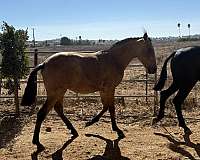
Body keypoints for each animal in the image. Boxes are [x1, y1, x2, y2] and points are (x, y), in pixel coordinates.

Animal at [21, 32, 157, 150]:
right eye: (149, 50)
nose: (154, 69)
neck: (114, 59)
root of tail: (44, 63)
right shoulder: (110, 88)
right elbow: (111, 108)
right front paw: (117, 130)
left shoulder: (103, 90)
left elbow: (106, 107)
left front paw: (90, 122)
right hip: (55, 93)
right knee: (42, 113)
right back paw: (37, 143)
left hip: (60, 92)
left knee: (58, 109)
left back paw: (73, 130)